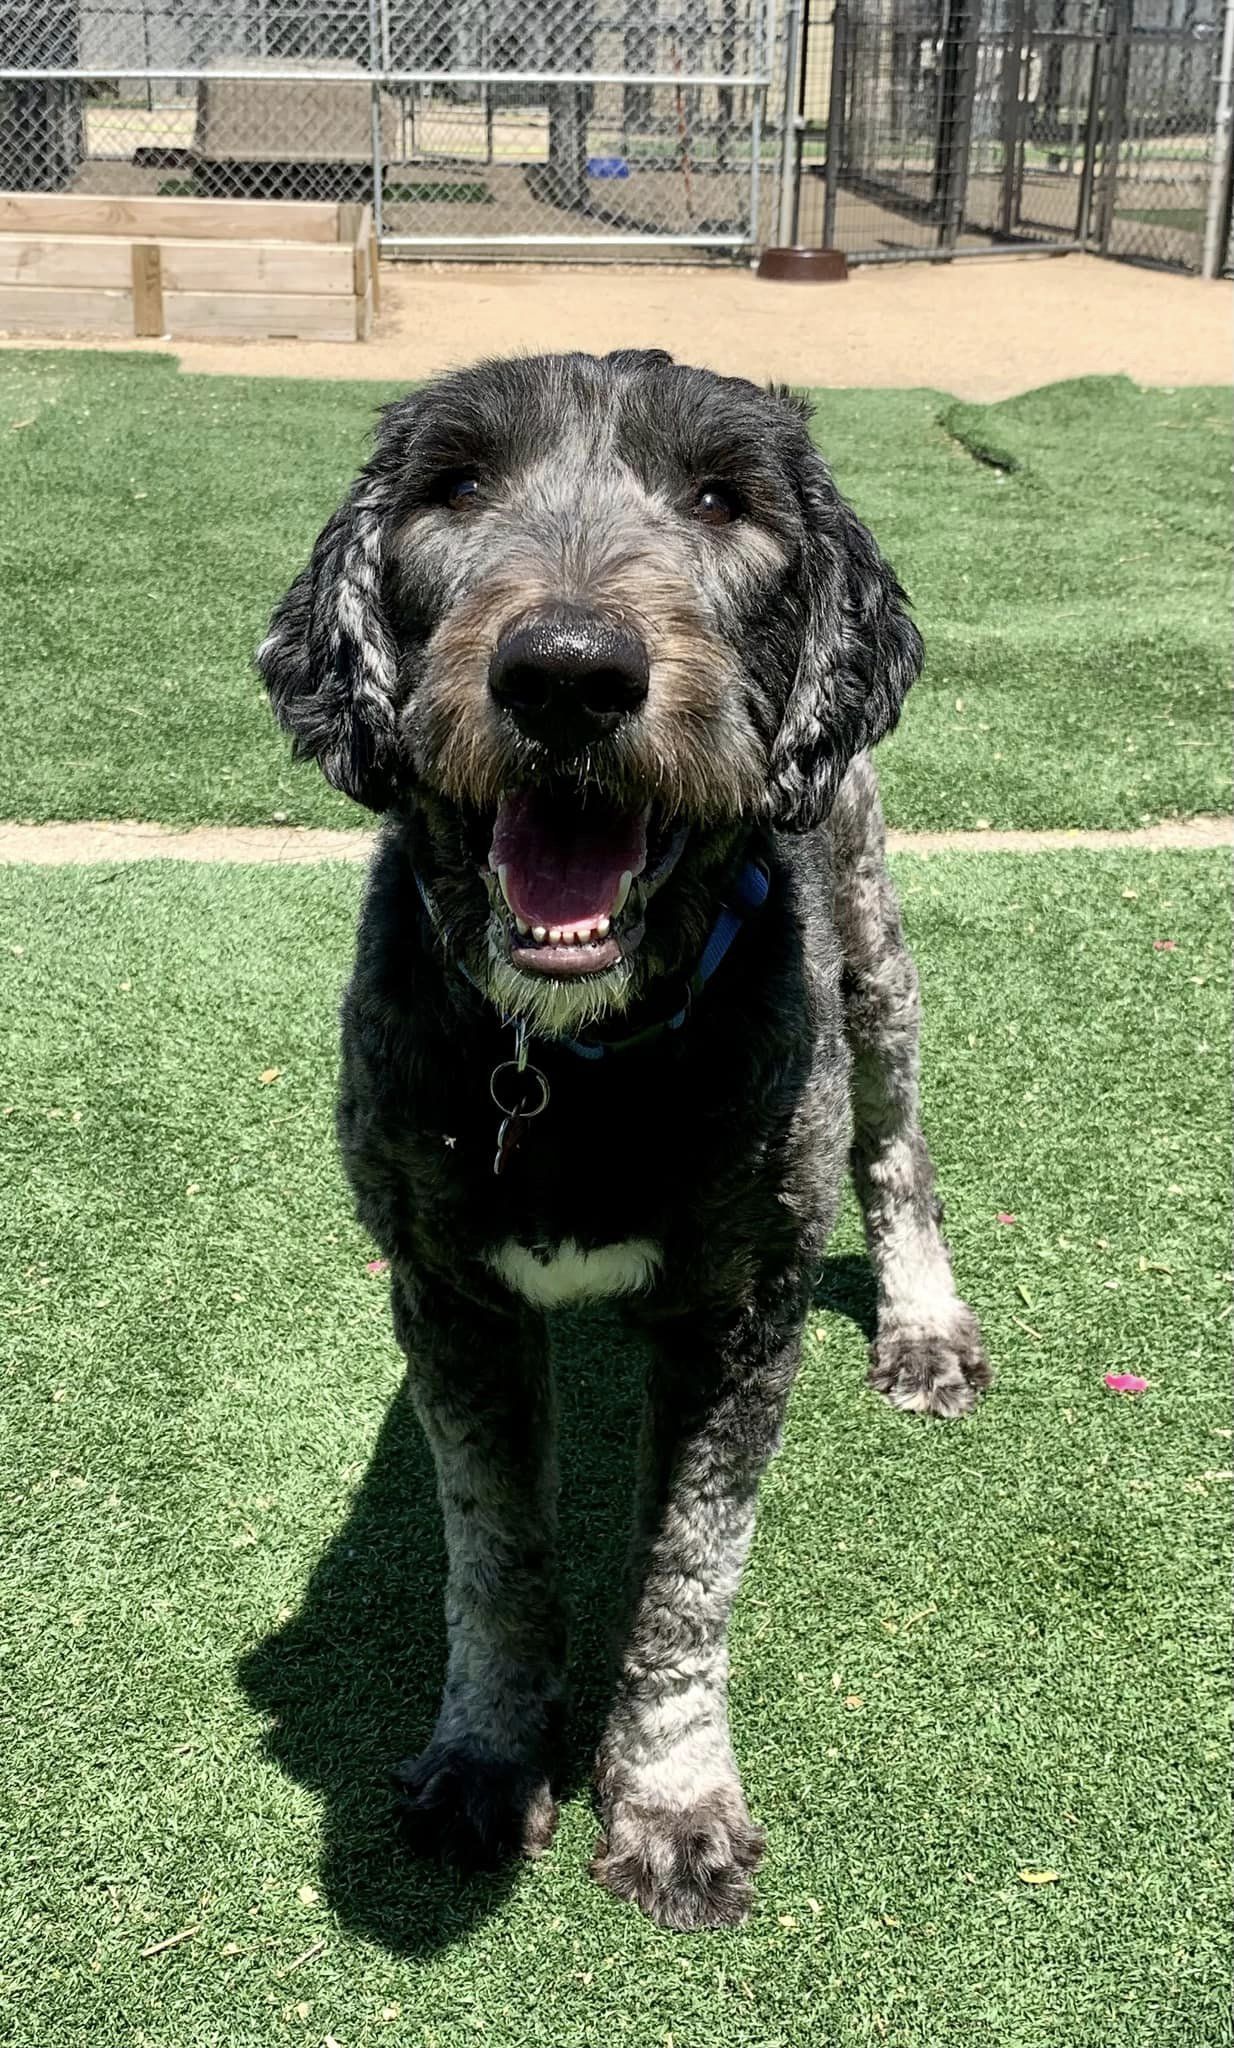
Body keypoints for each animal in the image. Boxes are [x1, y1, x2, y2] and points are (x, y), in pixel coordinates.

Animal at [255, 352, 990, 1933]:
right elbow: (495, 1553)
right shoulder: (451, 1297)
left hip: (873, 954)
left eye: (720, 500)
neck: (571, 1062)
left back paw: (923, 1326)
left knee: (896, 1153)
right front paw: (484, 1759)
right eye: (457, 485)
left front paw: (669, 1801)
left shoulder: (740, 1310)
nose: (568, 671)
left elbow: (687, 1577)